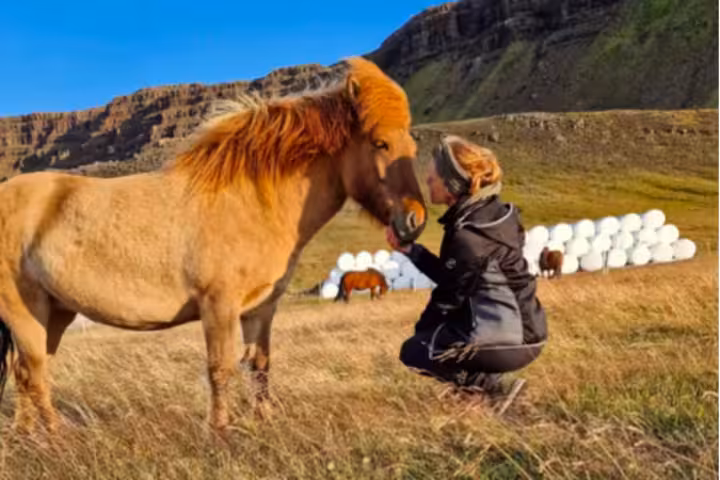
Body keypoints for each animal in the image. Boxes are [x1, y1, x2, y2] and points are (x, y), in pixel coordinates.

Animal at [0, 56, 426, 434]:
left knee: (24, 373)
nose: (414, 220)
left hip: (56, 313)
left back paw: (28, 436)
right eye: (380, 143)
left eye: (413, 148)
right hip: (26, 312)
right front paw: (221, 432)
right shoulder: (219, 306)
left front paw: (264, 422)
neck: (251, 202)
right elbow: (220, 368)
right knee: (34, 374)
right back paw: (57, 438)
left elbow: (259, 365)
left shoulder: (260, 310)